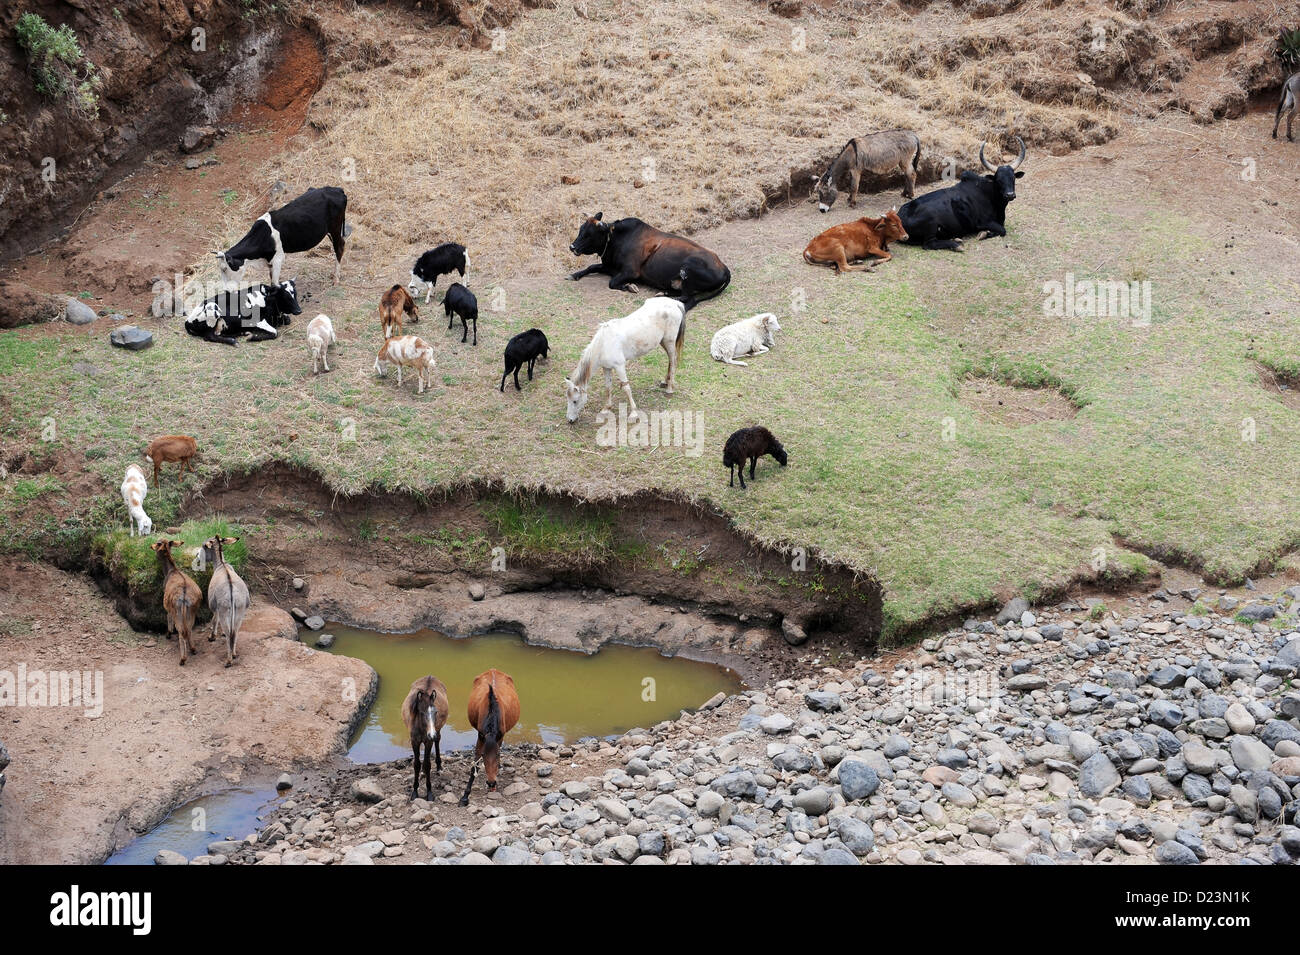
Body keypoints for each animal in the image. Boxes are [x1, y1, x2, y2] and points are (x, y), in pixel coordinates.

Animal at [152, 537, 200, 665]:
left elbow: (168, 618)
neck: (172, 570)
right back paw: (193, 649)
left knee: (181, 632)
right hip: (192, 612)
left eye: (157, 544)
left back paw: (182, 659)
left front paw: (168, 634)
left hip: (177, 612)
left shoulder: (168, 607)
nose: (151, 546)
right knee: (189, 630)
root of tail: (184, 597)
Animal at [569, 213, 733, 310]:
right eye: (581, 229)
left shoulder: (631, 271)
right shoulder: (608, 266)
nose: (572, 247)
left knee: (688, 298)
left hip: (687, 269)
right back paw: (663, 293)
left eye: (589, 234)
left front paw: (630, 287)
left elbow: (612, 283)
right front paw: (574, 275)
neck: (618, 239)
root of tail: (725, 268)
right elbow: (592, 266)